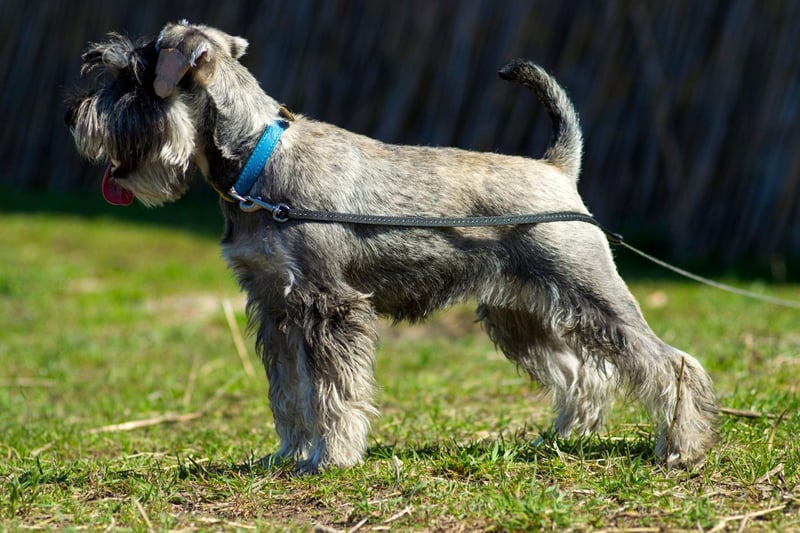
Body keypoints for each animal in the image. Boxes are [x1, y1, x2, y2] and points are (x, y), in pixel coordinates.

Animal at [67, 19, 720, 474]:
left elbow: (333, 391)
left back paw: (681, 447)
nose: (75, 115)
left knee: (669, 362)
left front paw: (331, 458)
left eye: (130, 80)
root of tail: (557, 169)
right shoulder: (275, 306)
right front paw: (290, 453)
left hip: (589, 291)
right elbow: (289, 390)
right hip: (520, 313)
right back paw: (564, 436)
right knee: (584, 371)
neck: (255, 158)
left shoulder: (328, 305)